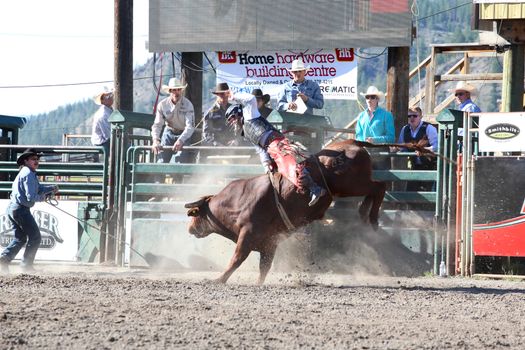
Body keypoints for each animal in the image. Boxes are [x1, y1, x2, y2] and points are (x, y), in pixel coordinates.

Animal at [184, 138, 434, 284]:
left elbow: (237, 259)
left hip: (351, 184)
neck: (238, 203)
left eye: (196, 213)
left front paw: (218, 280)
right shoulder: (269, 243)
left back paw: (370, 217)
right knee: (375, 190)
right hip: (349, 188)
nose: (189, 229)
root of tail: (350, 142)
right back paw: (364, 212)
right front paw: (258, 285)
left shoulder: (248, 234)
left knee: (379, 186)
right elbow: (264, 267)